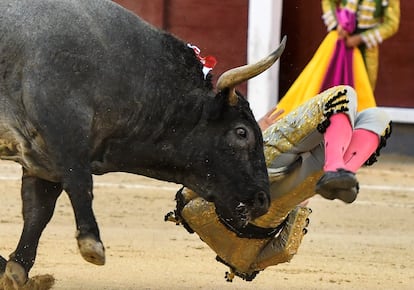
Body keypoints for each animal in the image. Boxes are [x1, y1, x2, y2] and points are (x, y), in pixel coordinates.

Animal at [0, 0, 284, 286]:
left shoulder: (40, 158)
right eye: (241, 132)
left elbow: (38, 210)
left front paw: (17, 270)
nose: (263, 199)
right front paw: (91, 244)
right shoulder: (63, 130)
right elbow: (79, 183)